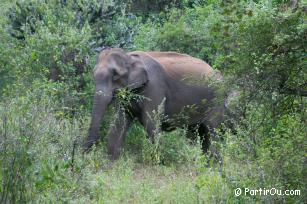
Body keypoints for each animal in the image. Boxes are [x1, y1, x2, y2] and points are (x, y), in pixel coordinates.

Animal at [83, 48, 226, 159]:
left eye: (115, 75)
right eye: (93, 74)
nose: (86, 153)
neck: (129, 57)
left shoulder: (155, 86)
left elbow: (150, 122)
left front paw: (157, 161)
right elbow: (120, 121)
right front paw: (111, 162)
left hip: (217, 99)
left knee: (212, 130)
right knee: (199, 133)